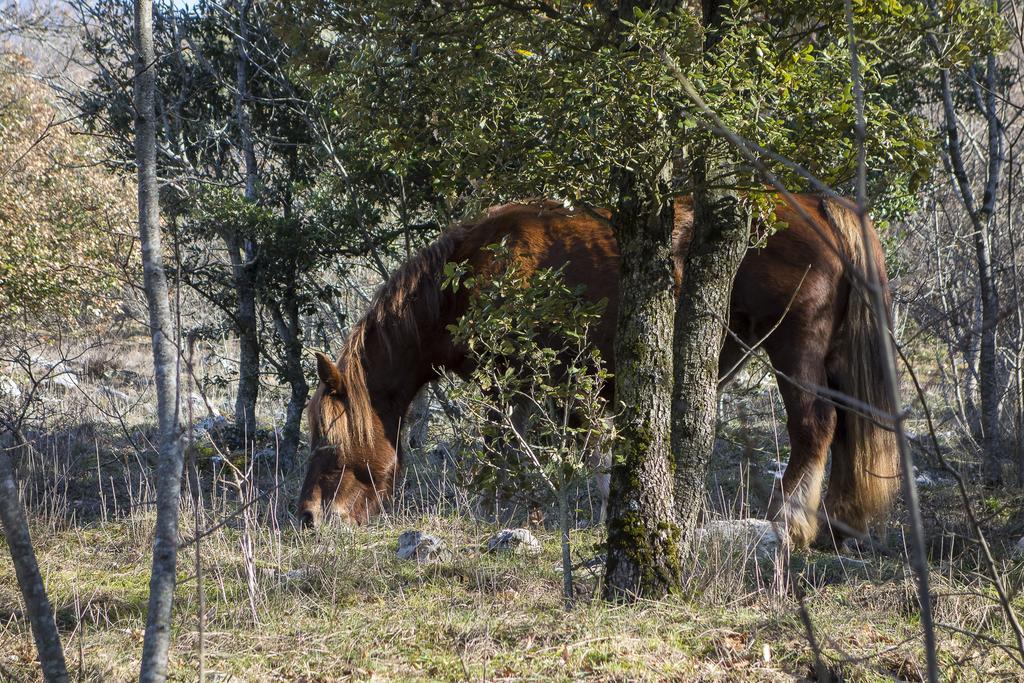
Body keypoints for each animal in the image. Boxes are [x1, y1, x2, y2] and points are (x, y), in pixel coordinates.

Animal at [299, 194, 901, 548]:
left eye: (329, 443)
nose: (307, 517)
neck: (467, 277)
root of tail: (816, 206)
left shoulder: (509, 381)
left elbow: (507, 447)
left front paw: (504, 512)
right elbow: (593, 452)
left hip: (795, 349)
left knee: (815, 427)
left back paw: (791, 521)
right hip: (832, 356)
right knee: (845, 428)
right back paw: (839, 526)